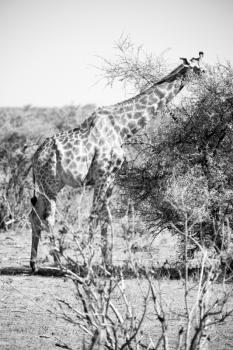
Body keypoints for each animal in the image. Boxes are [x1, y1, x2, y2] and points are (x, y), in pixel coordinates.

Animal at [29, 51, 204, 270]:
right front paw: (88, 261)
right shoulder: (102, 175)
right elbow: (95, 215)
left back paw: (34, 264)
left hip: (49, 185)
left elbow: (107, 218)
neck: (123, 128)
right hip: (49, 184)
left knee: (35, 215)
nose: (207, 75)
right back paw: (60, 264)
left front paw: (108, 265)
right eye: (198, 68)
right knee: (48, 217)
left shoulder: (111, 178)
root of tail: (35, 156)